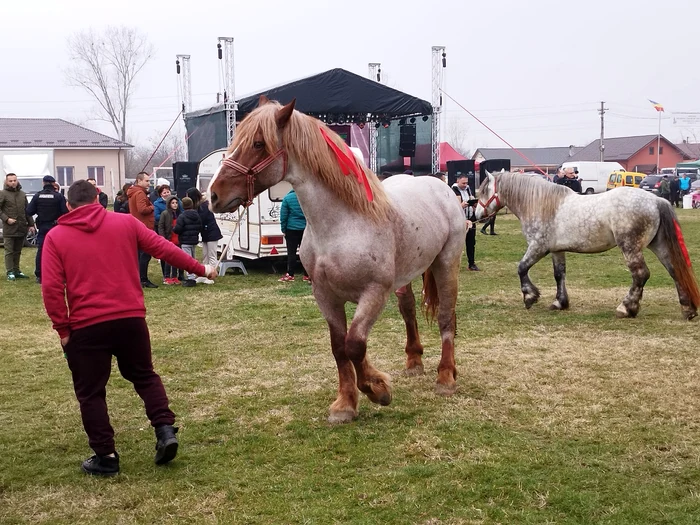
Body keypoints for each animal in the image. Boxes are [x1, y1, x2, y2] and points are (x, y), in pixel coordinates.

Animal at [208, 98, 470, 424]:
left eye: (258, 143)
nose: (213, 195)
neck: (343, 223)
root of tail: (442, 189)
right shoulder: (325, 295)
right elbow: (339, 347)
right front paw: (346, 404)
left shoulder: (374, 293)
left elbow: (355, 345)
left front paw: (377, 388)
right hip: (408, 275)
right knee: (408, 309)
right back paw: (413, 362)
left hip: (446, 262)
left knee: (447, 317)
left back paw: (445, 377)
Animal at [474, 172, 696, 320]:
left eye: (484, 190)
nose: (476, 214)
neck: (540, 205)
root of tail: (656, 200)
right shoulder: (556, 250)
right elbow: (559, 275)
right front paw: (559, 302)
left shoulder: (538, 247)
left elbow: (521, 268)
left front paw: (530, 297)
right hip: (658, 245)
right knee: (674, 271)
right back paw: (688, 310)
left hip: (630, 247)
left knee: (641, 274)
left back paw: (627, 308)